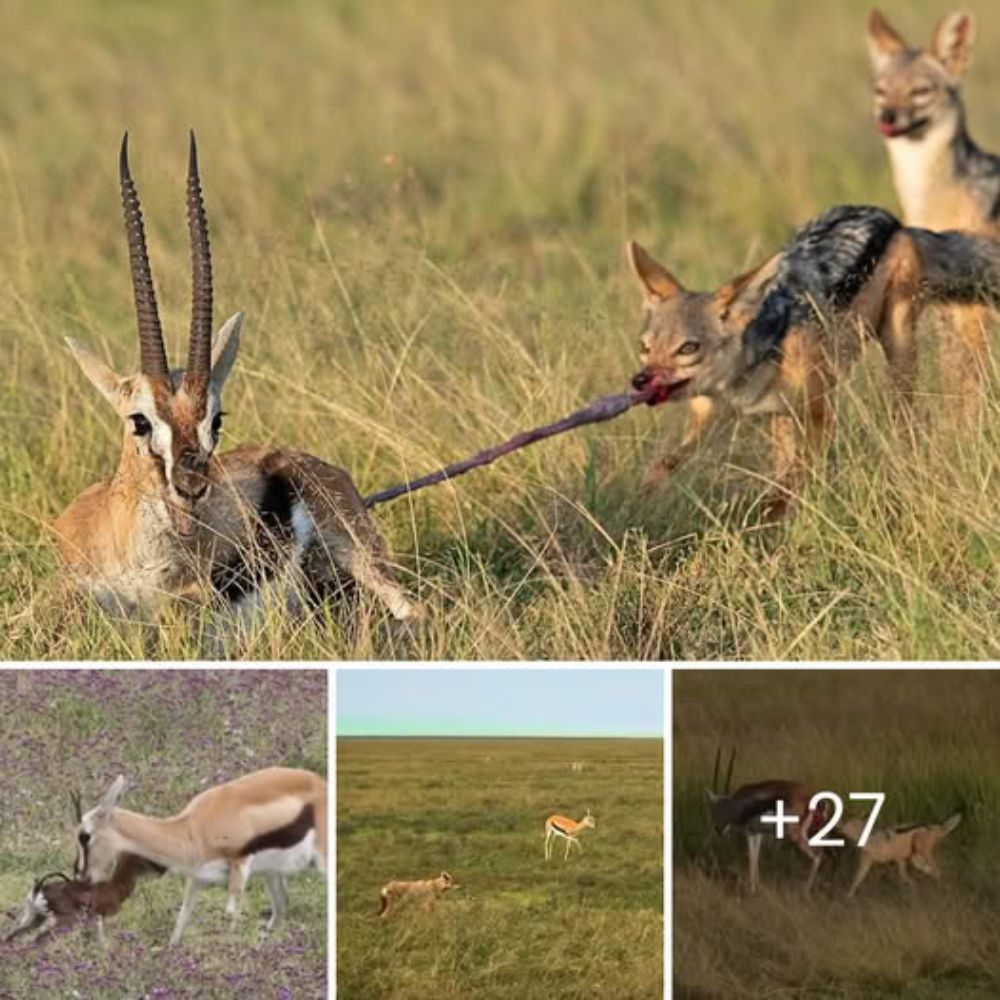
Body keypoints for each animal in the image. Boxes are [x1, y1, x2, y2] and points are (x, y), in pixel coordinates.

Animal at [72, 768, 326, 940]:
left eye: (85, 836)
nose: (80, 875)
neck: (191, 828)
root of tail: (320, 783)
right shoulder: (196, 878)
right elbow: (181, 919)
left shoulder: (240, 864)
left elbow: (230, 914)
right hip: (271, 874)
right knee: (282, 905)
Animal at [704, 748, 828, 896]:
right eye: (712, 810)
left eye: (719, 809)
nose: (719, 829)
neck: (738, 803)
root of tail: (811, 798)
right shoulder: (759, 833)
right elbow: (756, 857)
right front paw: (756, 887)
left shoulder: (749, 831)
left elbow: (751, 857)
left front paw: (751, 890)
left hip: (795, 834)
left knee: (817, 855)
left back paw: (804, 891)